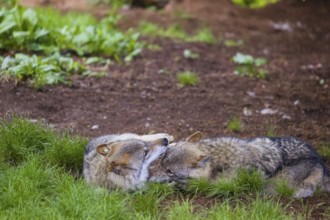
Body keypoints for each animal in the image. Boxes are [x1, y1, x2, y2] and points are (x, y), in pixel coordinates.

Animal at [150, 131, 330, 199]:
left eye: (170, 171)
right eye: (162, 160)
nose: (150, 176)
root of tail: (320, 161)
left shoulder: (221, 185)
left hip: (276, 185)